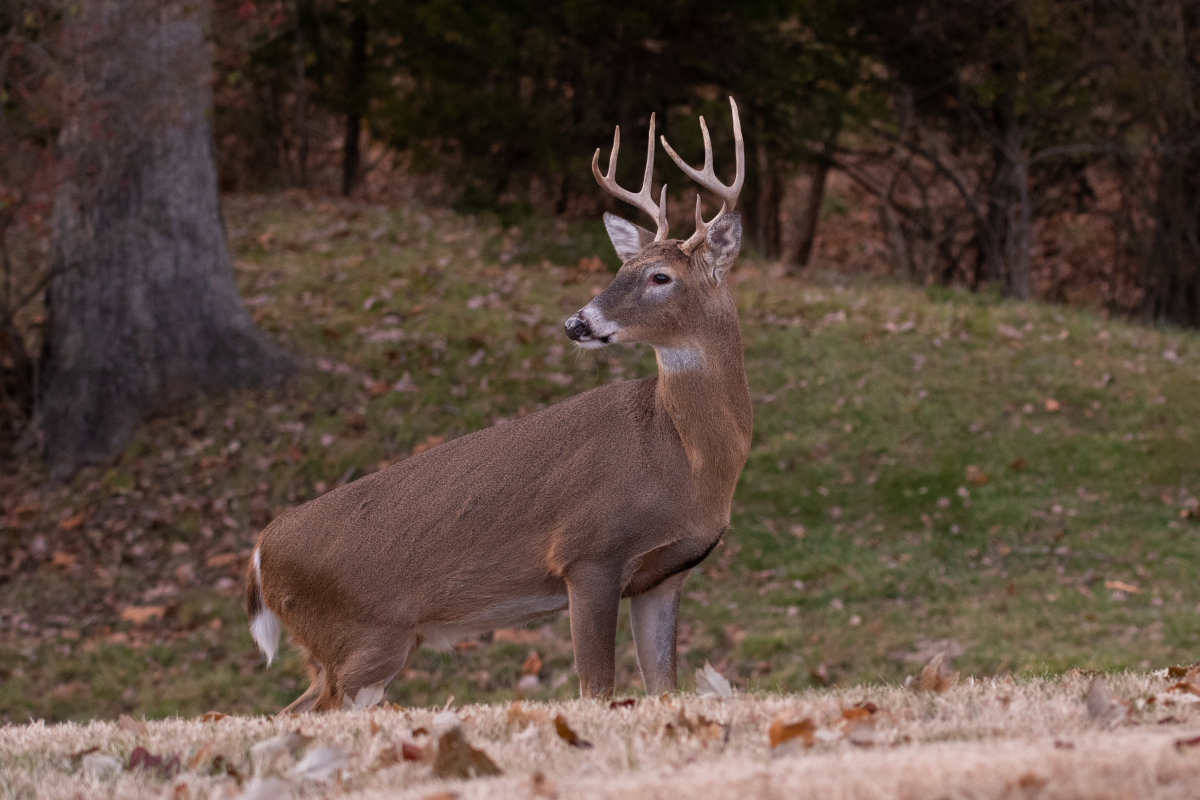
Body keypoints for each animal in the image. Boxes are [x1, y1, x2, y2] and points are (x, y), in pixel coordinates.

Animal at [243, 97, 748, 710]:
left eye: (659, 276)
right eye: (619, 269)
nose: (576, 323)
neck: (686, 460)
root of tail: (260, 555)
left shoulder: (664, 574)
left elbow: (663, 686)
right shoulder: (587, 552)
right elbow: (595, 688)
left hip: (341, 649)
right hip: (362, 639)